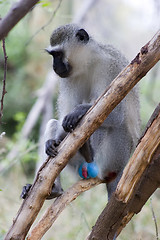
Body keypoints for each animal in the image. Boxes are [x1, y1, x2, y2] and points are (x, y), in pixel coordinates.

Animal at [21, 24, 140, 200]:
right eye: (53, 55)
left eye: (58, 54)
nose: (54, 66)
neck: (88, 62)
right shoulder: (68, 78)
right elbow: (63, 117)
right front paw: (53, 140)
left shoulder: (110, 67)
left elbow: (116, 113)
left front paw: (79, 111)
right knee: (54, 125)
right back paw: (55, 189)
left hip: (115, 155)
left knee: (107, 120)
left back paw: (89, 152)